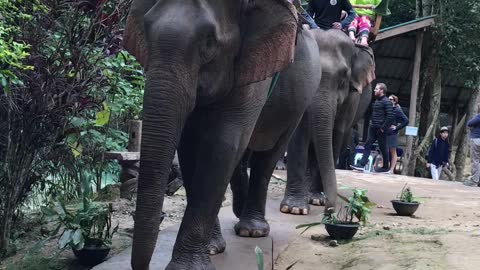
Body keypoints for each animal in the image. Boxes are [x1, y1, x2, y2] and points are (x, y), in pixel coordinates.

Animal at [122, 0, 298, 268]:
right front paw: (212, 249)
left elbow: (222, 144)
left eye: (208, 43)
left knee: (268, 155)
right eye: (146, 30)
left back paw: (252, 230)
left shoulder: (253, 71)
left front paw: (187, 267)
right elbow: (189, 146)